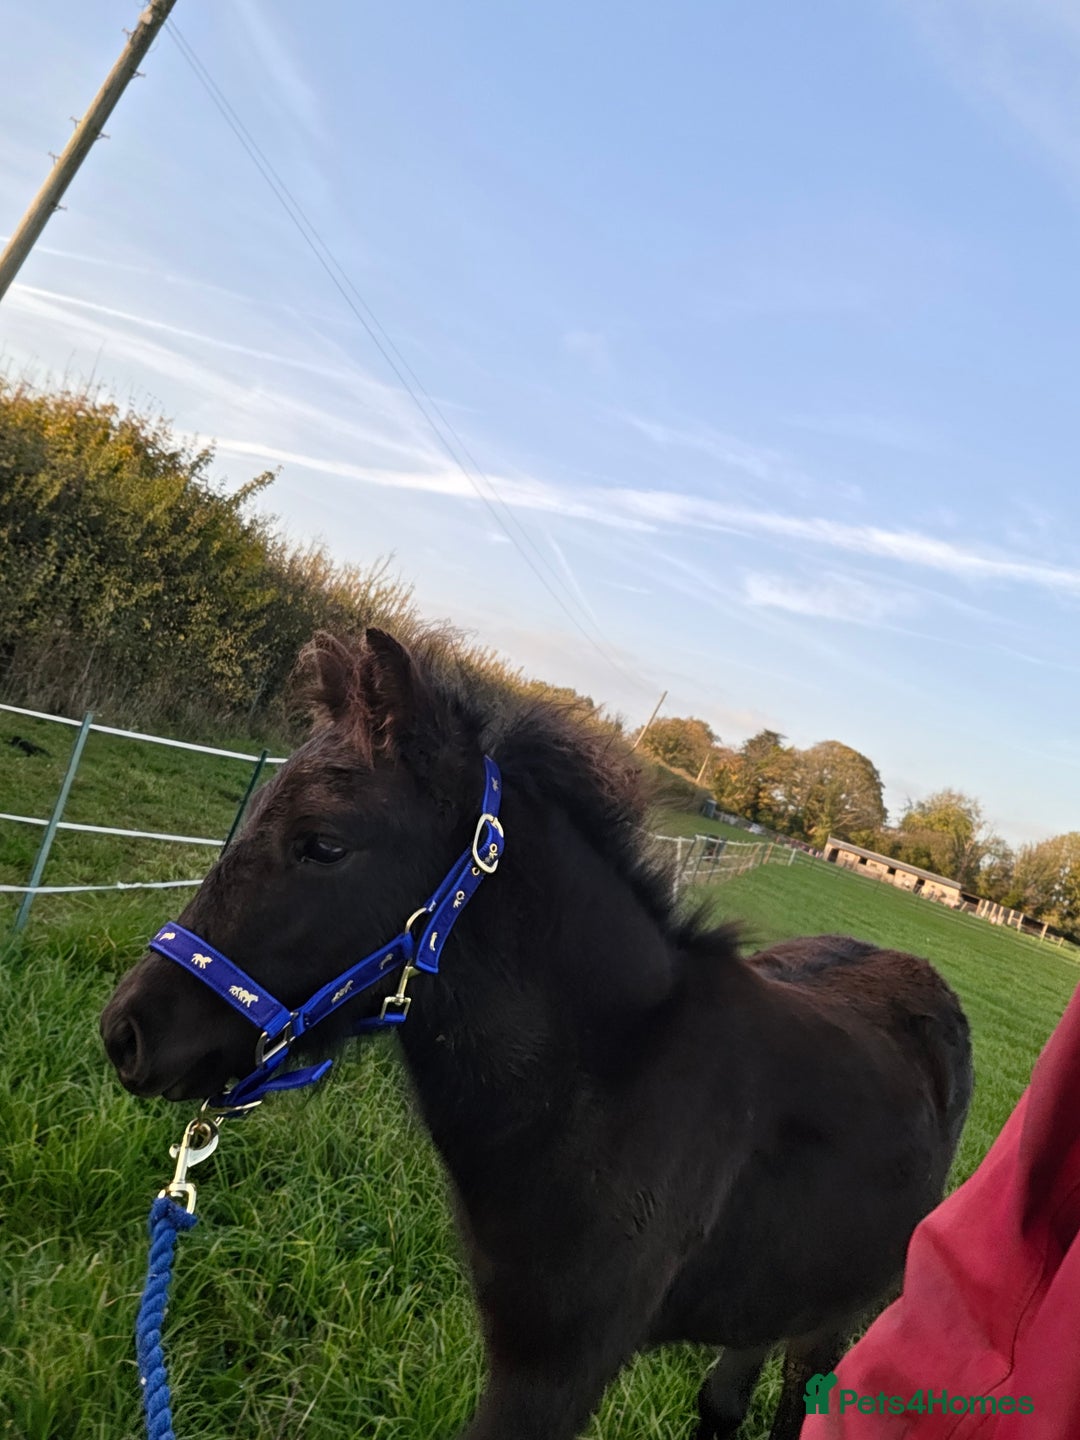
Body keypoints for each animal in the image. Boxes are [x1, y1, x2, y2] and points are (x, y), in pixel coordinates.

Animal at [101, 628, 973, 1440]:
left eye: (323, 844)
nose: (126, 1033)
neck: (618, 1078)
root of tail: (922, 975)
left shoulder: (559, 1369)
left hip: (833, 1311)